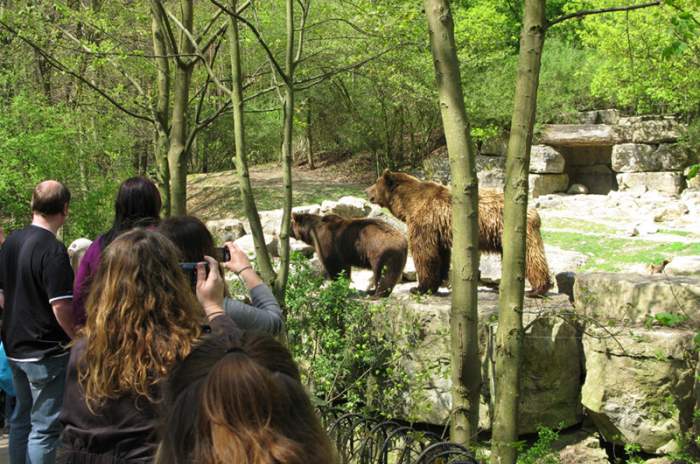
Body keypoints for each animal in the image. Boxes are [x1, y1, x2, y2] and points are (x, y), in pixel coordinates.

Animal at [366, 170, 552, 298]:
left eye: (375, 183)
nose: (367, 191)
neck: (407, 204)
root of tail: (533, 210)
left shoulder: (423, 221)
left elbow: (424, 253)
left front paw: (418, 287)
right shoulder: (438, 229)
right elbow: (440, 255)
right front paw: (435, 284)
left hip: (514, 230)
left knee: (531, 256)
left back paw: (536, 290)